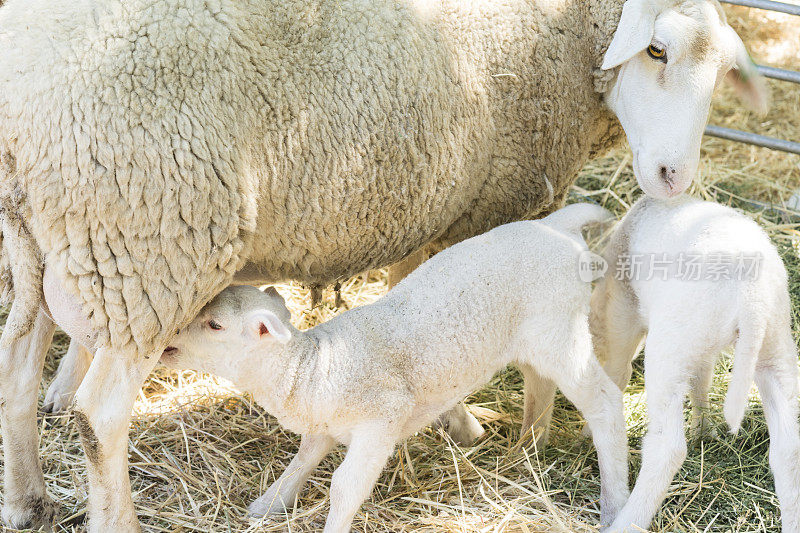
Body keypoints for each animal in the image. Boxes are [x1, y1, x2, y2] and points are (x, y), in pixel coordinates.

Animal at [164, 202, 632, 528]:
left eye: (215, 324)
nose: (170, 337)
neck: (313, 366)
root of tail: (556, 226)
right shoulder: (323, 424)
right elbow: (301, 462)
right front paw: (266, 506)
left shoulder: (382, 419)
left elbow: (343, 486)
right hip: (535, 338)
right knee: (540, 383)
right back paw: (527, 450)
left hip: (561, 330)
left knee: (605, 402)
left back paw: (614, 506)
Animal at [588, 196, 800, 532]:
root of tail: (750, 296)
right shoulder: (701, 348)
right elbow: (702, 378)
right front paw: (703, 429)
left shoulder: (621, 309)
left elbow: (617, 371)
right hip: (774, 345)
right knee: (788, 451)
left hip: (670, 346)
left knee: (668, 448)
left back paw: (626, 521)